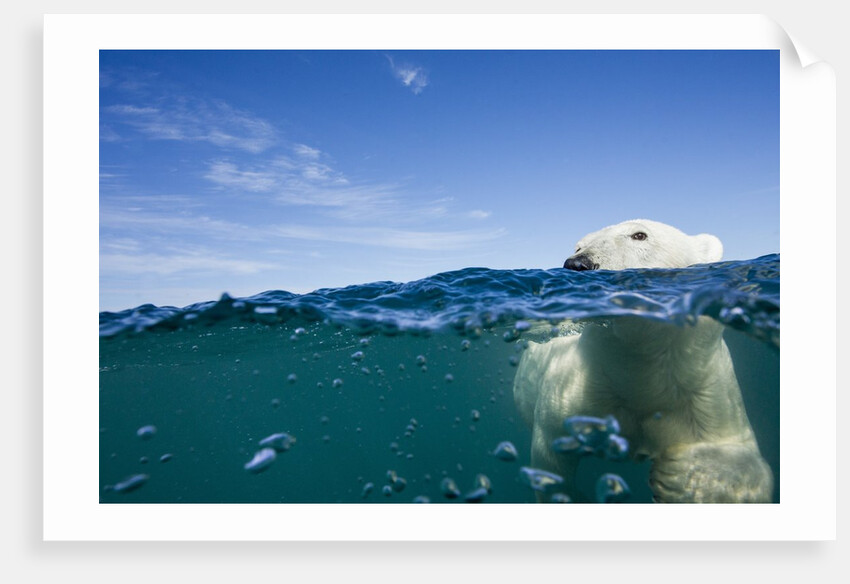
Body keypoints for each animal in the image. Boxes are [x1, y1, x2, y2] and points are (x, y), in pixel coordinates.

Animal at [513, 219, 773, 503]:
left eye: (639, 235)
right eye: (578, 246)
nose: (578, 264)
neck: (640, 372)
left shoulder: (703, 387)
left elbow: (742, 450)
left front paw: (680, 474)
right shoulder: (582, 387)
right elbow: (550, 451)